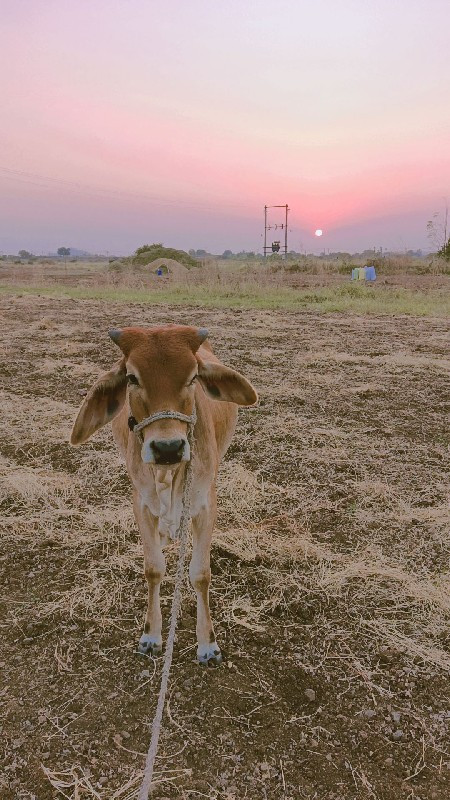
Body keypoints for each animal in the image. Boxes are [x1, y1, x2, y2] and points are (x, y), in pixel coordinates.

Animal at [70, 322, 256, 664]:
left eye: (193, 377)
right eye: (132, 377)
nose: (168, 448)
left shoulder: (205, 504)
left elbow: (200, 573)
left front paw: (207, 643)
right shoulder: (141, 504)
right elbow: (153, 568)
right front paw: (152, 635)